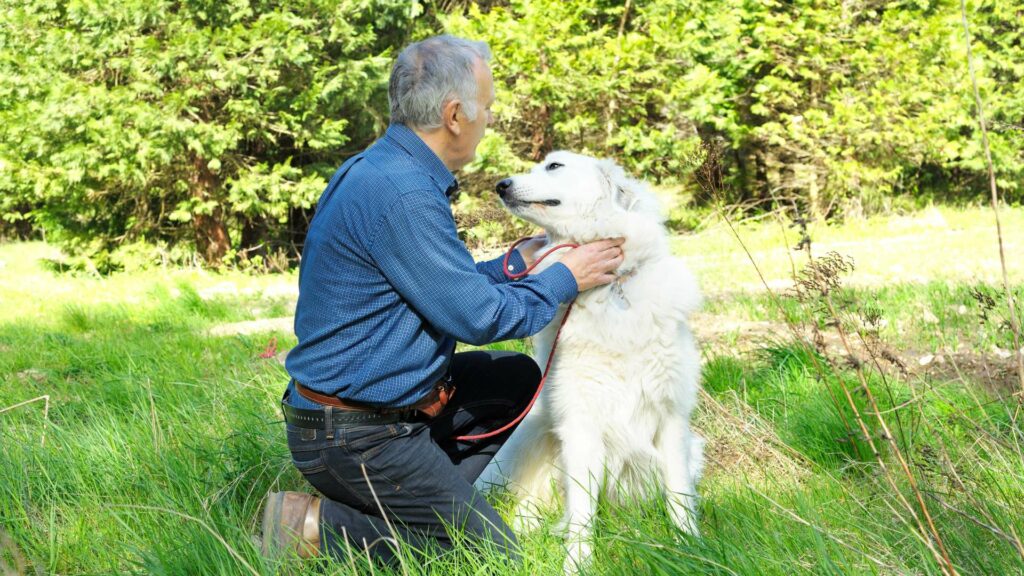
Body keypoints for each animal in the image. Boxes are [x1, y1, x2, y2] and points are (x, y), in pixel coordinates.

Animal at [477, 150, 704, 569]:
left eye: (554, 166)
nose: (501, 185)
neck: (612, 289)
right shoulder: (581, 424)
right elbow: (581, 511)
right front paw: (577, 563)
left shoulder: (672, 418)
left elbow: (679, 493)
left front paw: (690, 544)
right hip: (522, 443)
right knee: (526, 502)